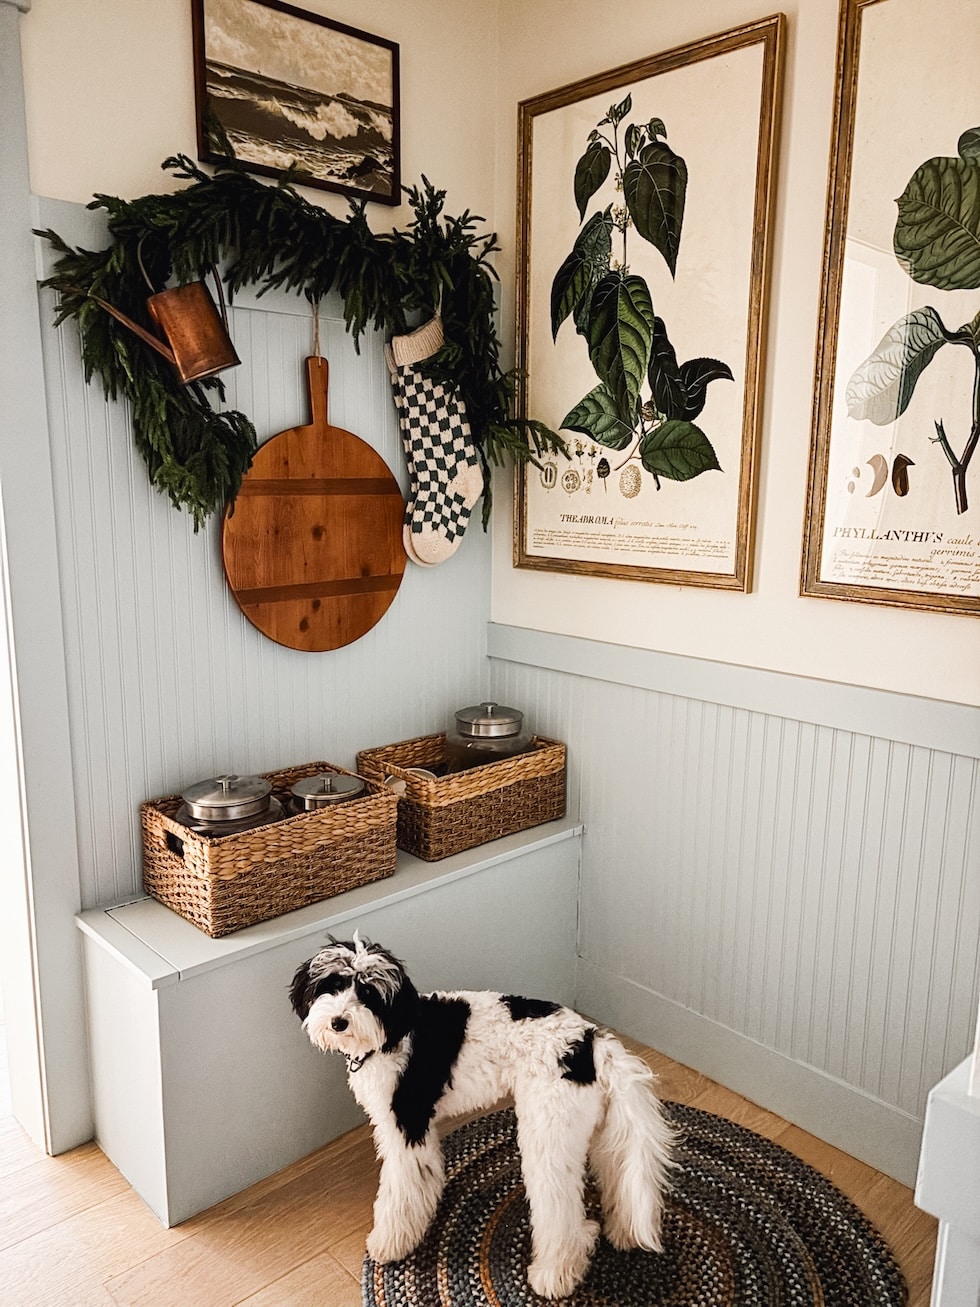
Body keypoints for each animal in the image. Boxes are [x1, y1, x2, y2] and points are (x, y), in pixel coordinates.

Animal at [291, 935, 674, 1301]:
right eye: (332, 984)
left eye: (369, 993)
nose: (338, 1022)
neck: (393, 1030)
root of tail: (590, 1041)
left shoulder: (406, 1128)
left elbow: (400, 1191)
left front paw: (391, 1242)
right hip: (592, 1128)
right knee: (618, 1174)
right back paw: (622, 1232)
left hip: (547, 1135)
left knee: (561, 1215)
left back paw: (554, 1275)